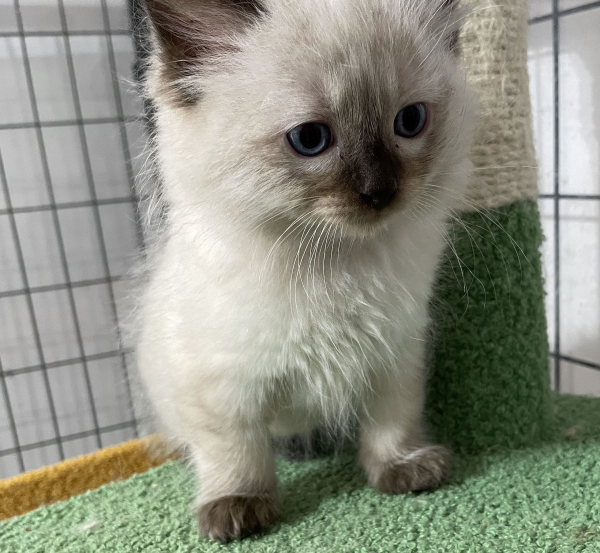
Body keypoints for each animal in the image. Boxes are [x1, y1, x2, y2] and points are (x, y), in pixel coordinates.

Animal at [135, 0, 474, 544]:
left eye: (409, 121)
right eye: (310, 139)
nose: (379, 193)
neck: (335, 267)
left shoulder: (395, 354)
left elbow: (393, 419)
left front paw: (402, 469)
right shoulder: (220, 386)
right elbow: (235, 451)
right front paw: (238, 508)